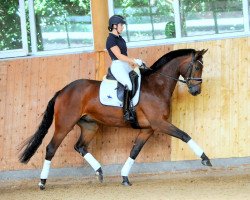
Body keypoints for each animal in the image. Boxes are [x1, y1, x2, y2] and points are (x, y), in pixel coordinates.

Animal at [19, 48, 211, 189]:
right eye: (197, 67)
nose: (196, 91)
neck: (156, 86)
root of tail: (63, 91)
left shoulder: (148, 129)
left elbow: (134, 151)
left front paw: (125, 177)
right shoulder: (159, 124)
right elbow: (185, 135)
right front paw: (205, 159)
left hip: (90, 126)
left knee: (80, 146)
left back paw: (99, 172)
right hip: (64, 124)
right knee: (51, 148)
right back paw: (42, 182)